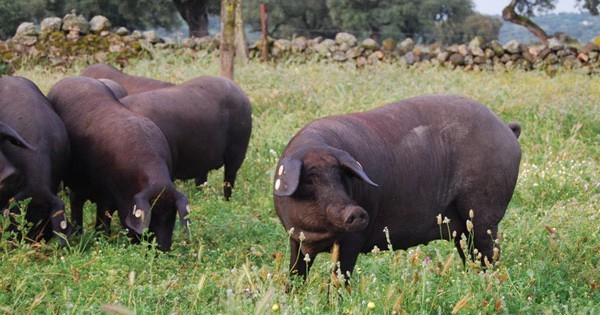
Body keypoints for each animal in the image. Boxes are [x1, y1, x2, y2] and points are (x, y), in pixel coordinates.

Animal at [49, 76, 190, 252]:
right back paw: (78, 234)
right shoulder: (104, 194)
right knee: (76, 201)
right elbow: (103, 221)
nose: (162, 251)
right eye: (153, 216)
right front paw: (101, 241)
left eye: (172, 216)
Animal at [120, 76, 252, 200]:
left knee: (228, 180)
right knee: (201, 182)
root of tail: (240, 92)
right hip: (203, 158)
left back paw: (226, 201)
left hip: (237, 151)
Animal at [272, 94, 520, 282]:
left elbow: (340, 277)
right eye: (309, 180)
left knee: (489, 252)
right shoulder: (295, 238)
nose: (356, 211)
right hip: (462, 228)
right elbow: (295, 273)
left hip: (484, 213)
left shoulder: (353, 240)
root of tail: (507, 130)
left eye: (341, 177)